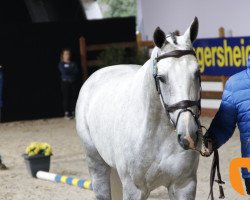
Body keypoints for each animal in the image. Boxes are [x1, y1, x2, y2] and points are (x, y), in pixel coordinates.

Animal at [75, 17, 201, 200]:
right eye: (162, 78)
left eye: (197, 72)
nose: (189, 136)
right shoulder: (134, 189)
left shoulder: (184, 185)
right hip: (97, 164)